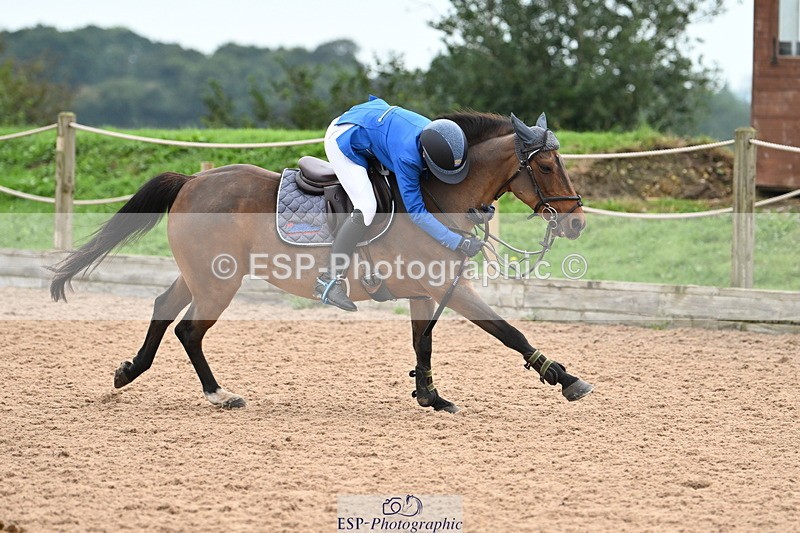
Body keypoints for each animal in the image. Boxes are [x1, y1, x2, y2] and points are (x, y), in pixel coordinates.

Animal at [49, 111, 593, 413]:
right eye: (548, 166)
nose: (575, 223)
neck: (438, 192)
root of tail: (191, 180)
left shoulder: (424, 290)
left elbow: (423, 343)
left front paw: (430, 397)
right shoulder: (448, 288)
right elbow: (508, 331)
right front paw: (564, 378)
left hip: (202, 275)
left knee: (164, 307)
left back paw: (129, 371)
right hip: (218, 282)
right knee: (188, 329)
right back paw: (218, 394)